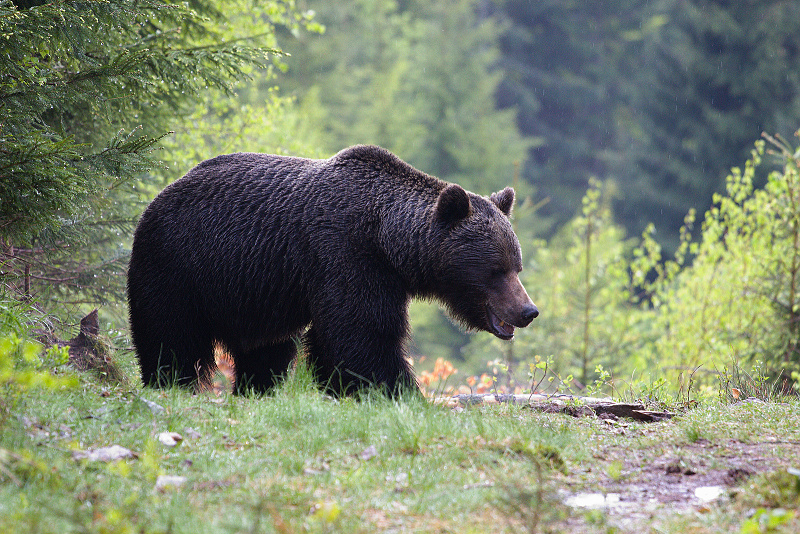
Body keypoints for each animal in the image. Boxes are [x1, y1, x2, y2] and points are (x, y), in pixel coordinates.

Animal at [126, 147, 536, 398]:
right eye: (496, 270)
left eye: (517, 266)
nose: (528, 311)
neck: (386, 239)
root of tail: (158, 195)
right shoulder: (344, 252)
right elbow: (360, 334)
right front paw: (401, 392)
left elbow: (336, 341)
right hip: (177, 265)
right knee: (170, 334)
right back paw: (170, 382)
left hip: (251, 294)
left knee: (266, 350)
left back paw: (256, 388)